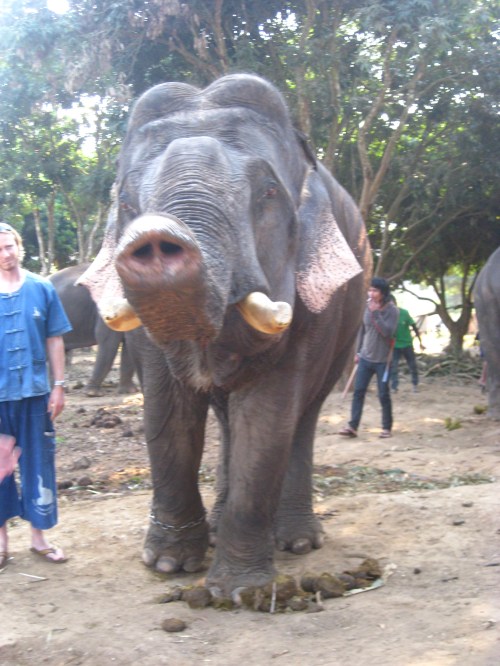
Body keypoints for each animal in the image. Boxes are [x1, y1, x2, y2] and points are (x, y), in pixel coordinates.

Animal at [79, 73, 372, 597]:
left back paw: (297, 541)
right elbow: (167, 408)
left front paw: (241, 591)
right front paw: (169, 565)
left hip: (347, 329)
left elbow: (268, 415)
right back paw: (218, 526)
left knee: (302, 417)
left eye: (269, 193)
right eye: (126, 202)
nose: (156, 236)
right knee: (226, 419)